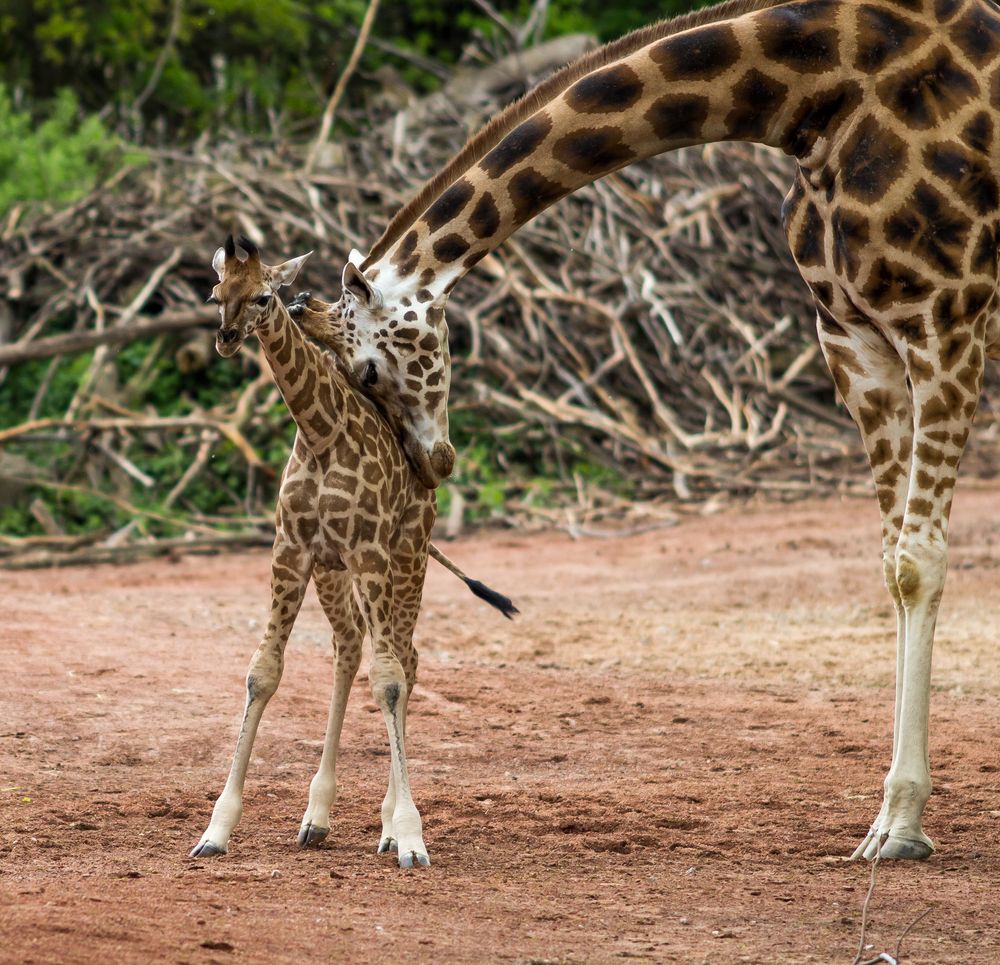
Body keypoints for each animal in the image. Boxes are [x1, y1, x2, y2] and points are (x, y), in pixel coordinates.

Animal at [189, 237, 516, 868]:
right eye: (217, 293)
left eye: (264, 295)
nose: (227, 337)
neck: (320, 432)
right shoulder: (292, 550)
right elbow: (263, 673)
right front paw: (216, 830)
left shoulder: (367, 549)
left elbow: (386, 681)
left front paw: (410, 836)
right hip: (338, 575)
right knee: (350, 649)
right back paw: (316, 818)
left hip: (404, 558)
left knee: (404, 661)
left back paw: (387, 826)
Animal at [302, 0, 1000, 860]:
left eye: (367, 372)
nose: (432, 463)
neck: (815, 93)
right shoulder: (852, 335)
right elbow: (891, 560)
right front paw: (888, 821)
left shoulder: (944, 320)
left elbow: (918, 561)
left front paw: (901, 823)